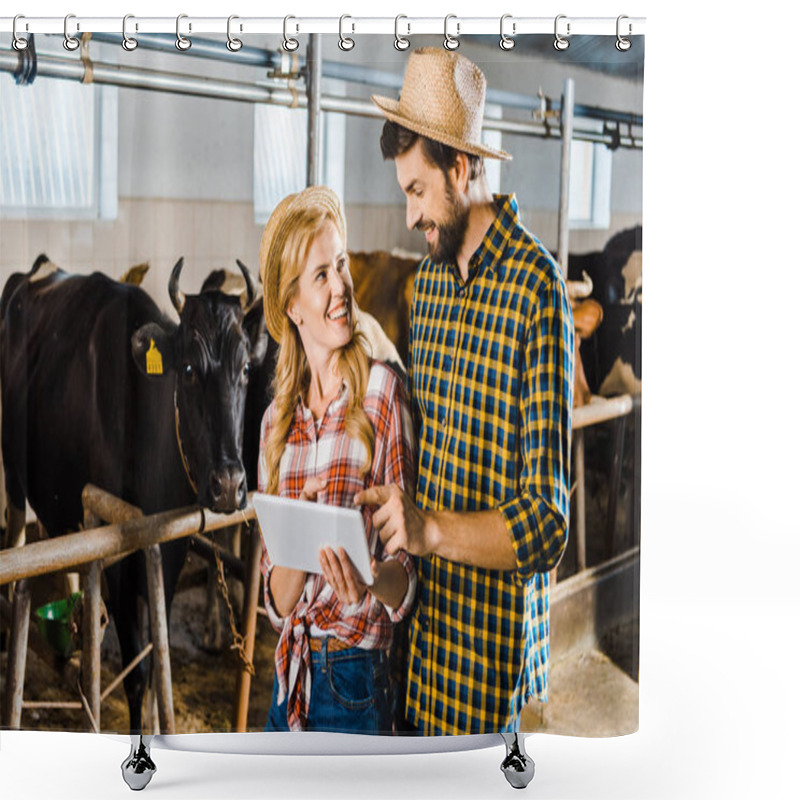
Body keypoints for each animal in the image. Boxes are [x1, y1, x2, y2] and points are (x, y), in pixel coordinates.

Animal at [0, 255, 268, 732]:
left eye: (245, 370)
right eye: (188, 369)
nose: (229, 484)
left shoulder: (170, 545)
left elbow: (159, 652)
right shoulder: (118, 556)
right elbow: (139, 674)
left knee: (57, 532)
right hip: (13, 466)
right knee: (18, 533)